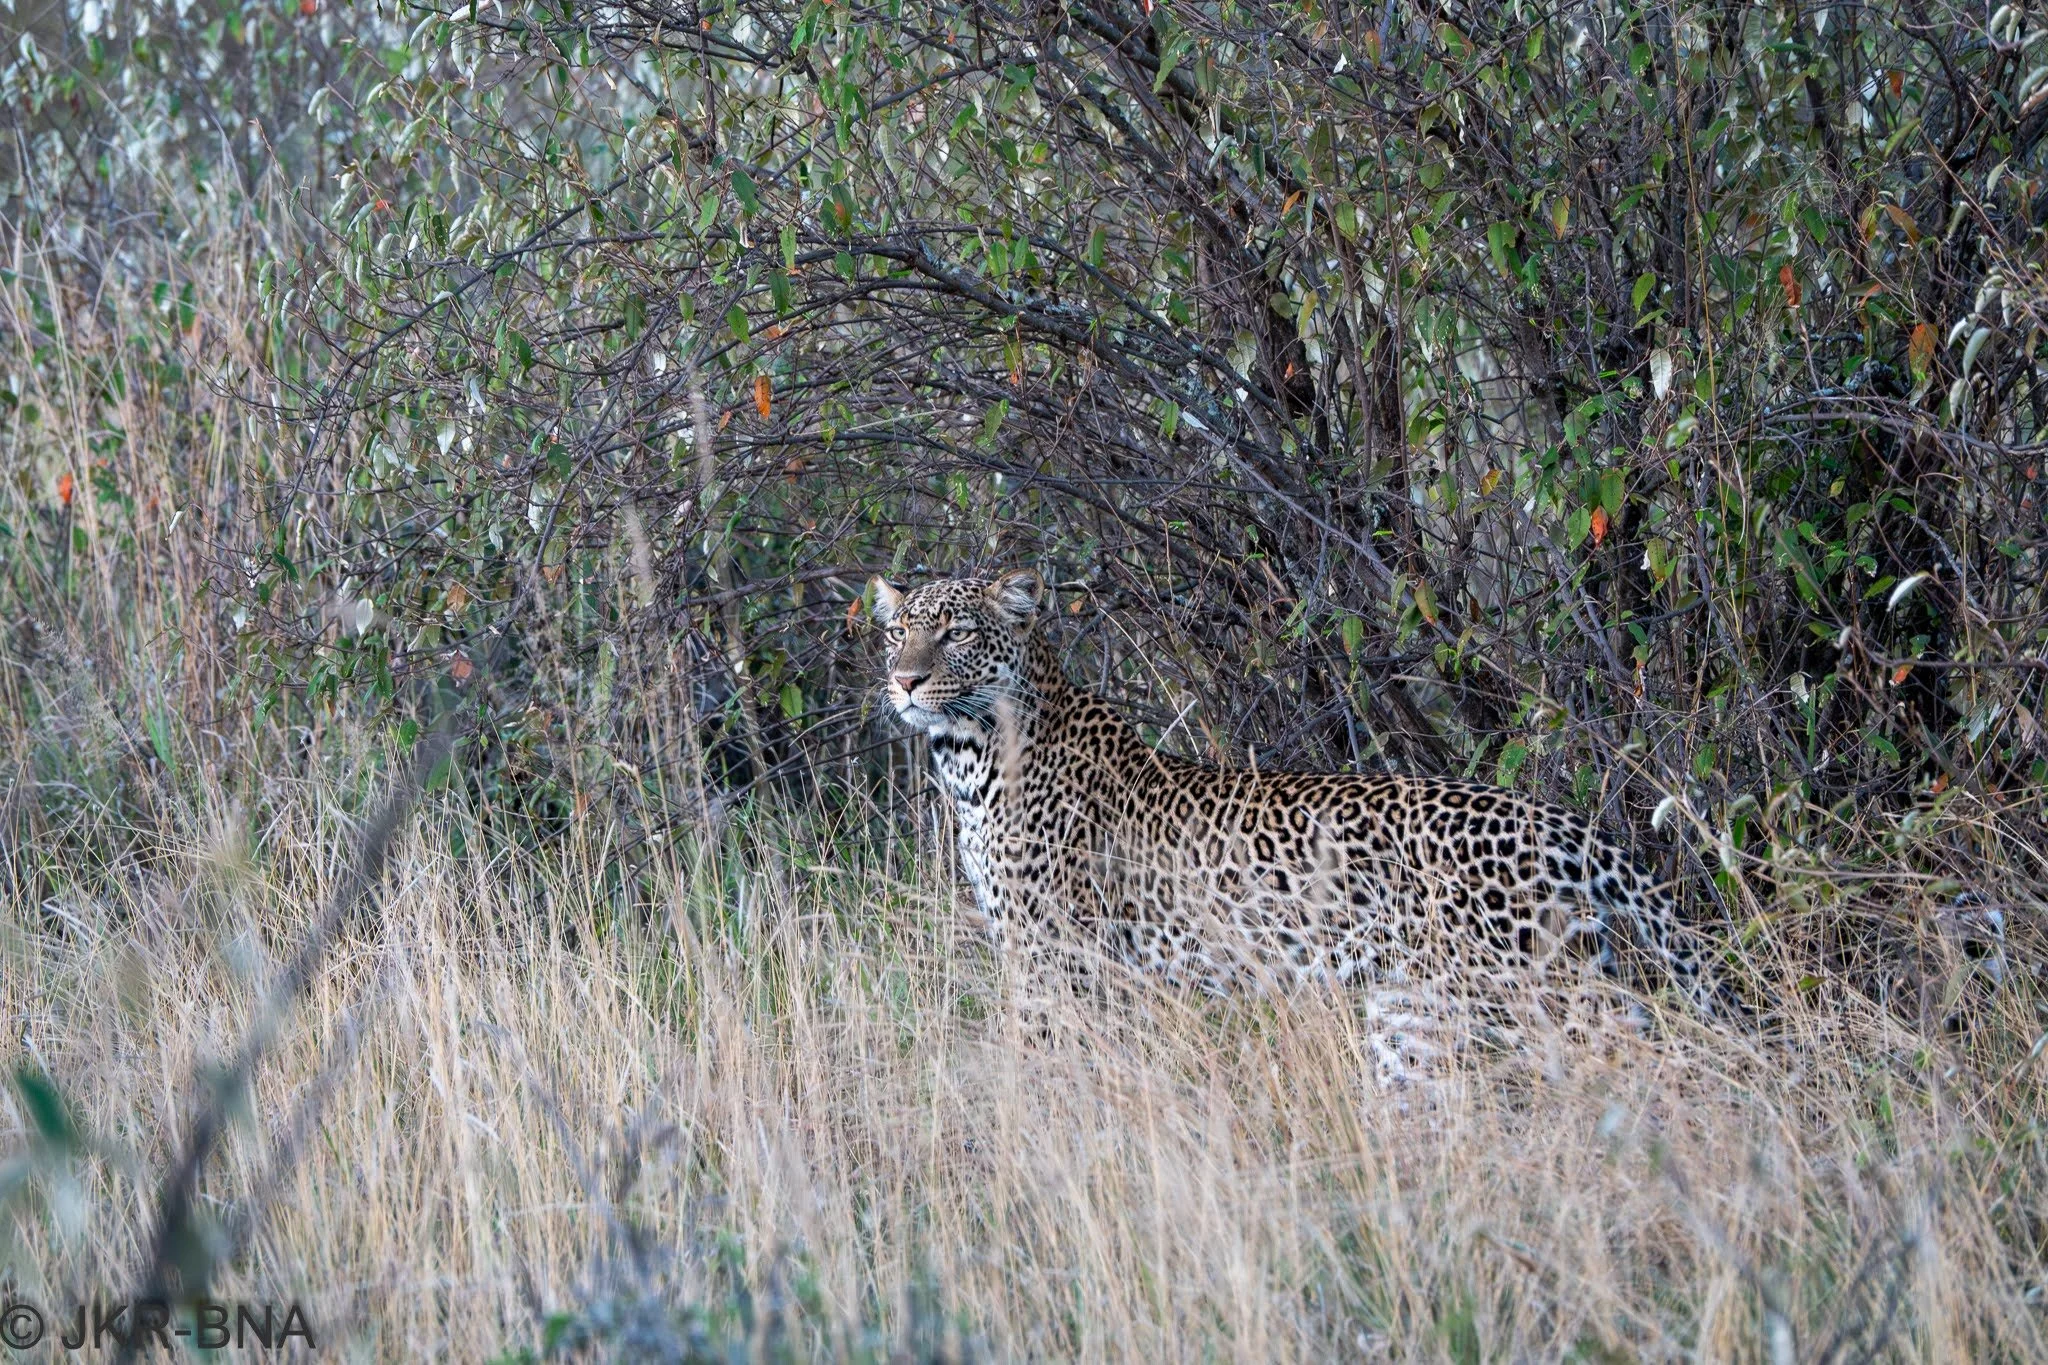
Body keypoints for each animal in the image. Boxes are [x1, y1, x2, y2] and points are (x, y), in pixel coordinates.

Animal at [871, 569, 1718, 1074]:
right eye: (896, 630)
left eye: (956, 631)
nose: (904, 680)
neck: (972, 754)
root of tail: (1562, 822)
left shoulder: (1054, 961)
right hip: (1417, 1013)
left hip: (1531, 990)